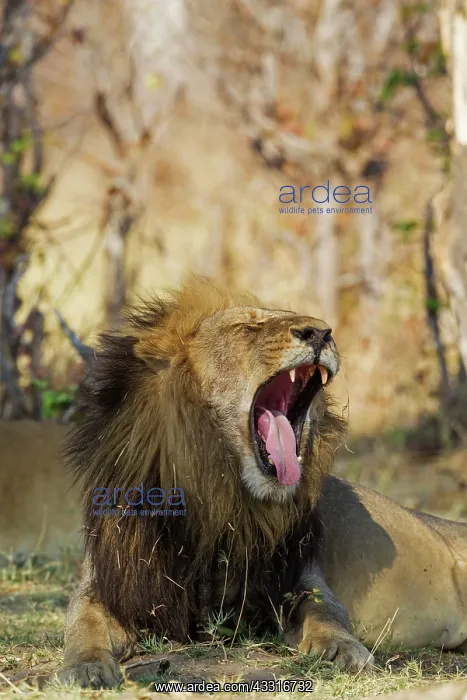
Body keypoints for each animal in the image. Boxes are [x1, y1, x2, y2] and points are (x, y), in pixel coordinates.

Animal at [51, 277, 467, 688]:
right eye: (246, 327)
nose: (321, 333)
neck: (222, 499)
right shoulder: (107, 582)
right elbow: (83, 626)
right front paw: (85, 668)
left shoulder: (298, 576)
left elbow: (326, 612)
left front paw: (342, 649)